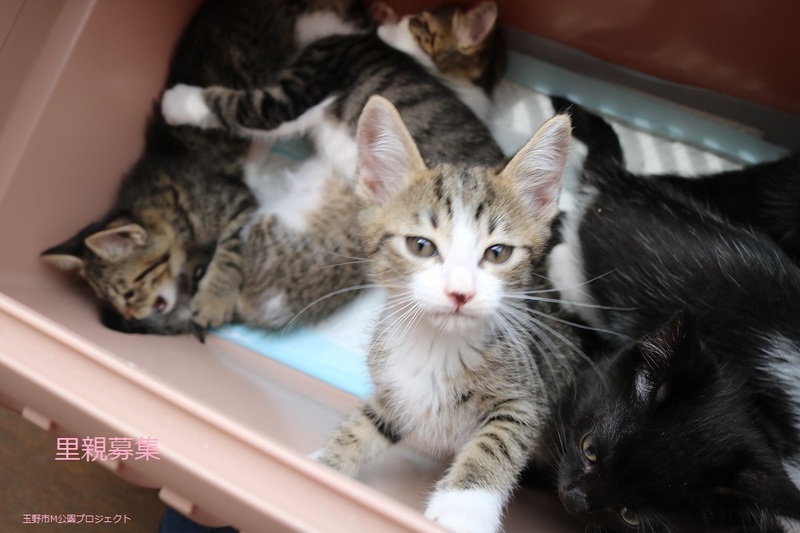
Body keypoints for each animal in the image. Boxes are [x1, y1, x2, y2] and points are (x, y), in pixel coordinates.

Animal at [41, 0, 376, 339]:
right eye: (113, 301)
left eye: (129, 292)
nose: (132, 317)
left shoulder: (238, 201)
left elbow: (230, 251)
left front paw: (215, 299)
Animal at [312, 96, 582, 533]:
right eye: (421, 246)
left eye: (498, 253)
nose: (460, 292)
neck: (437, 343)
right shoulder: (395, 390)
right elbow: (368, 423)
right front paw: (324, 464)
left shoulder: (527, 396)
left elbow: (497, 440)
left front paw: (463, 508)